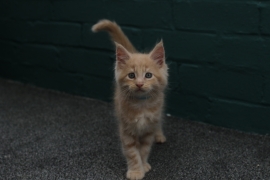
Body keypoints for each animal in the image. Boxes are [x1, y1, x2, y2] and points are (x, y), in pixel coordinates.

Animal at [91, 19, 167, 180]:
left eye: (148, 75)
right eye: (131, 75)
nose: (139, 84)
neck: (142, 104)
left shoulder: (148, 129)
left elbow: (144, 149)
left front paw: (143, 165)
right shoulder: (126, 128)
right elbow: (132, 152)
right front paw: (136, 171)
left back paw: (159, 135)